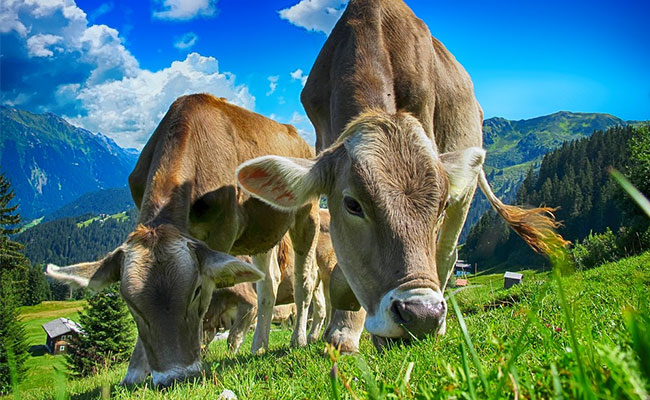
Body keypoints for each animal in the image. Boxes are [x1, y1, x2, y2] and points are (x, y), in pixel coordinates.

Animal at [46, 94, 321, 387]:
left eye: (196, 291)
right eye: (130, 303)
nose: (174, 377)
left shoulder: (221, 233)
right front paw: (135, 372)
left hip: (307, 214)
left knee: (305, 280)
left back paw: (299, 339)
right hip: (261, 232)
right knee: (268, 283)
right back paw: (259, 346)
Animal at [236, 0, 567, 352]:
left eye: (440, 206)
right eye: (352, 205)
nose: (422, 314)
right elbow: (342, 269)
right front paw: (343, 332)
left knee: (447, 253)